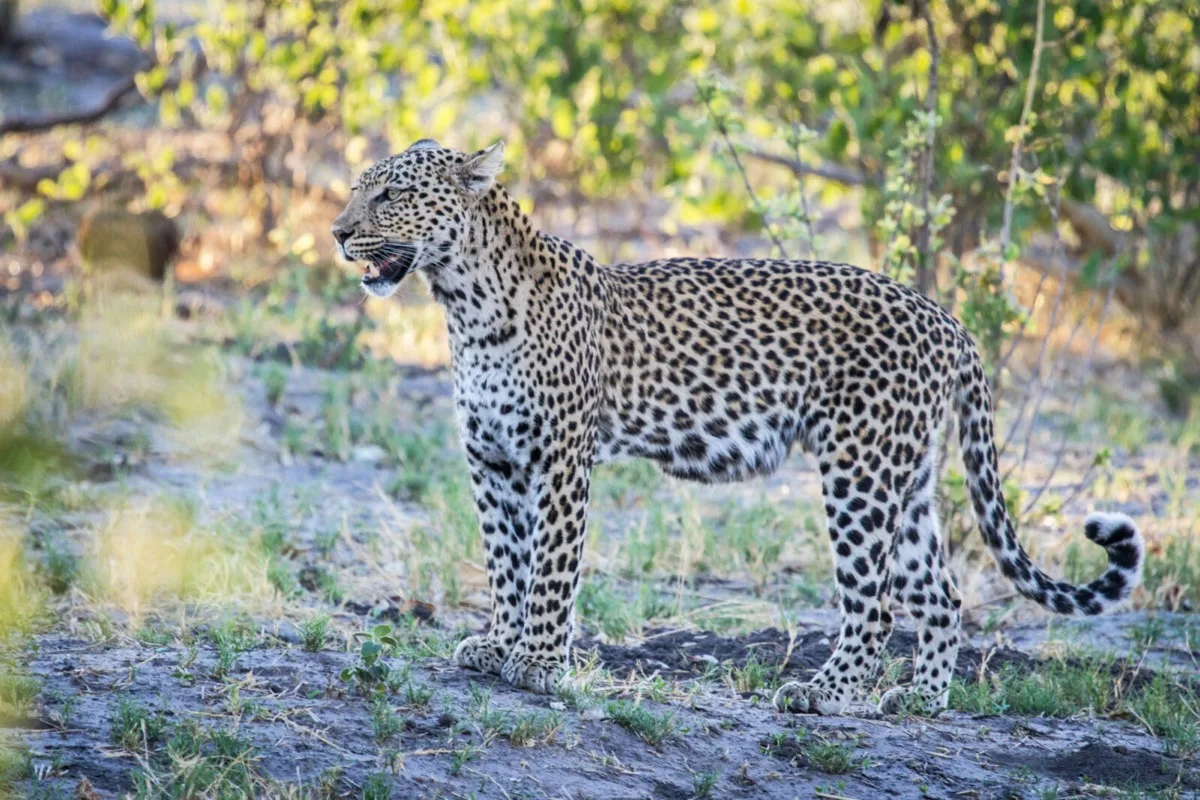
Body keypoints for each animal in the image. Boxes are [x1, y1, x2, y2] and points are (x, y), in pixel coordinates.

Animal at [331, 138, 1144, 715]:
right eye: (357, 189)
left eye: (391, 194)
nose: (337, 233)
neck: (463, 303)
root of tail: (948, 321)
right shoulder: (491, 458)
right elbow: (506, 561)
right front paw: (499, 646)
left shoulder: (560, 458)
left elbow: (550, 566)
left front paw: (537, 663)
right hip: (904, 478)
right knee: (941, 594)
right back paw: (918, 699)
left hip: (859, 470)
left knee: (874, 600)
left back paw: (828, 694)